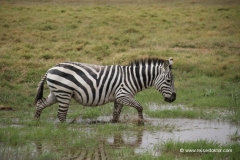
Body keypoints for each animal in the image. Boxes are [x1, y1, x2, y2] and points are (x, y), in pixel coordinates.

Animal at [33, 57, 175, 122]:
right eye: (169, 81)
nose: (174, 98)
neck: (132, 78)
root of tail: (51, 68)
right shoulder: (123, 95)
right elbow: (139, 106)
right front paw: (141, 122)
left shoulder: (119, 98)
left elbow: (116, 113)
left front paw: (114, 124)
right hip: (64, 93)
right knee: (61, 114)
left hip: (56, 93)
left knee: (40, 104)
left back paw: (36, 122)